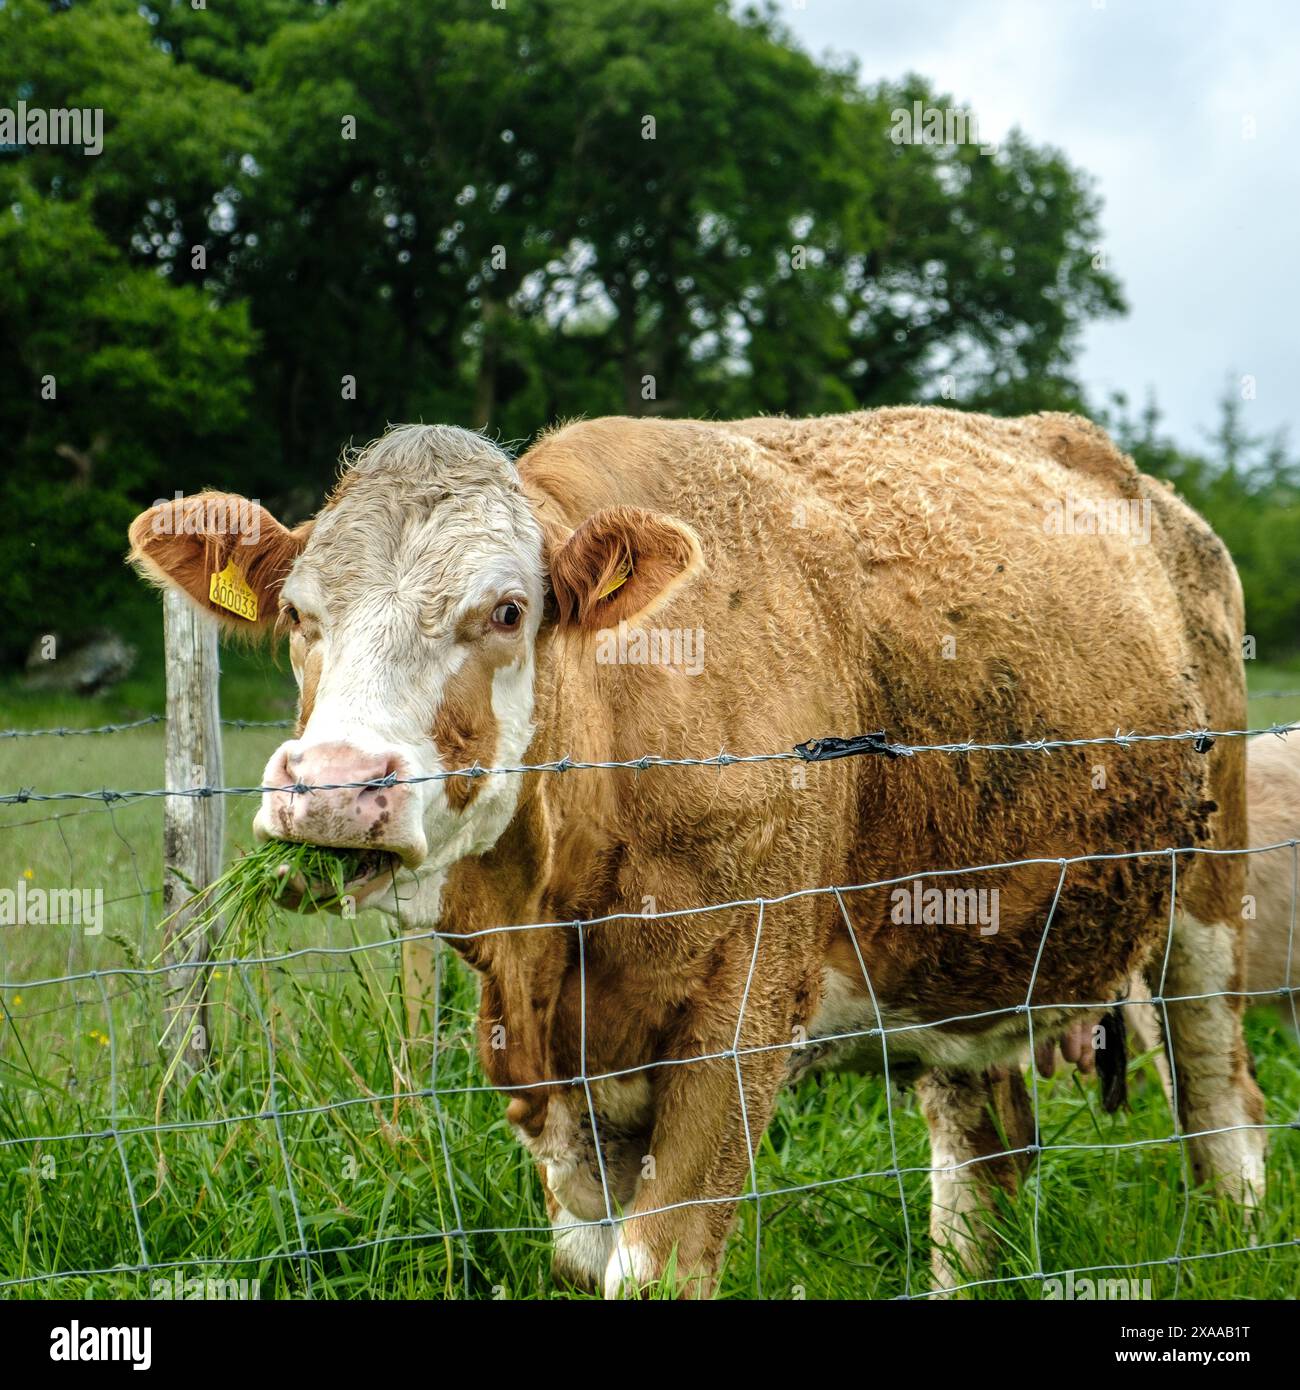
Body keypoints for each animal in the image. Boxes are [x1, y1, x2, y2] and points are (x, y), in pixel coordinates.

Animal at [129, 405, 1273, 1295]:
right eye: (299, 614)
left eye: (506, 610)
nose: (332, 786)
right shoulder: (546, 1067)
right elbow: (585, 1260)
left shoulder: (741, 1016)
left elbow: (657, 1266)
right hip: (957, 940)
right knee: (980, 1159)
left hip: (1205, 904)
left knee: (1225, 1115)